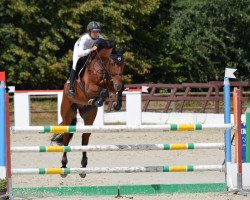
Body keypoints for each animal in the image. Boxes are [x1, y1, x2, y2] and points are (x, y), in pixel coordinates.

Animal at [50, 39, 125, 178]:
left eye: (123, 63)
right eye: (112, 63)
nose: (117, 84)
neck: (101, 67)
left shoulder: (110, 83)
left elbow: (114, 89)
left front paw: (117, 104)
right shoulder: (89, 88)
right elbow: (103, 92)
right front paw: (99, 100)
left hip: (89, 116)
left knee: (85, 138)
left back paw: (83, 166)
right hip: (68, 114)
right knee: (66, 138)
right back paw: (63, 166)